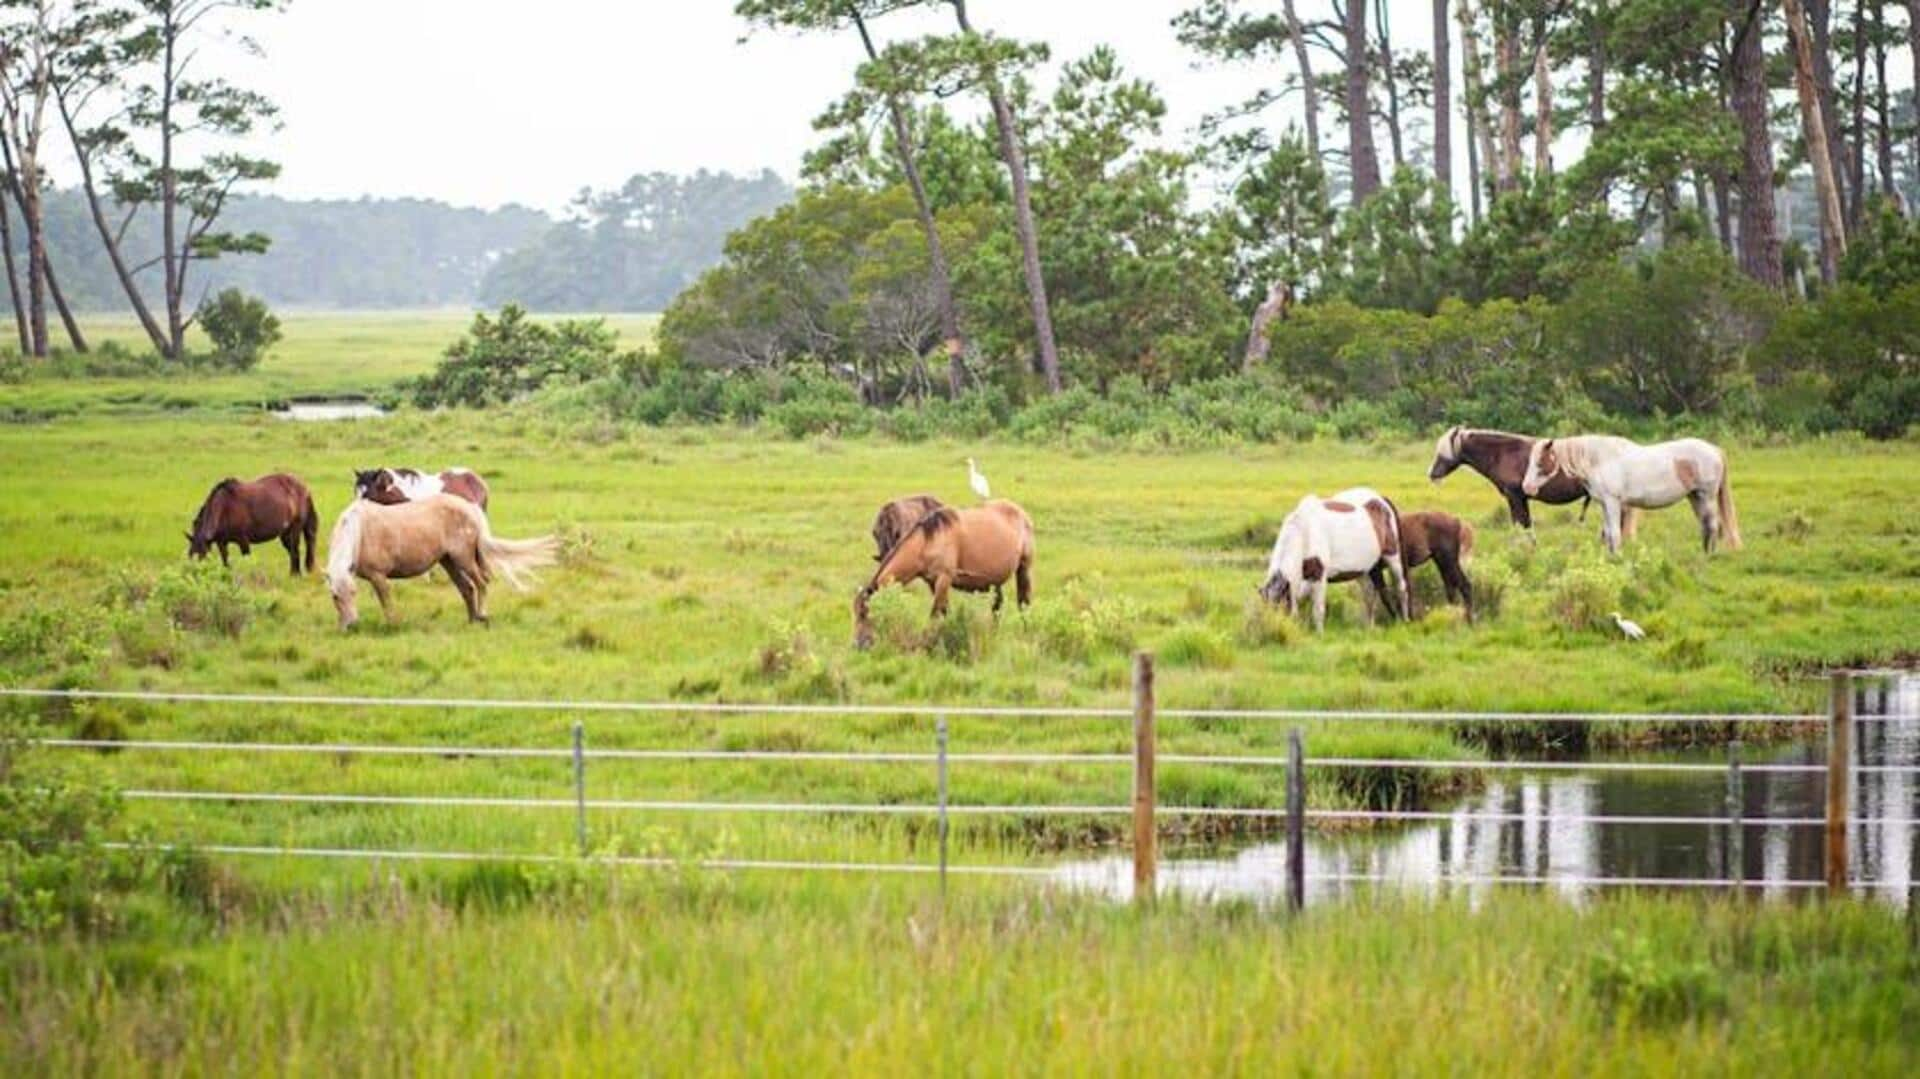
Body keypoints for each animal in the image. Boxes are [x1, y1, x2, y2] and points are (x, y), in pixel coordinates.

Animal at [185, 470, 316, 572]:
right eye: (190, 555)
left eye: (202, 555)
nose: (195, 573)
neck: (224, 507)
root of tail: (305, 488)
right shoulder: (221, 543)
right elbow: (225, 561)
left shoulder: (243, 541)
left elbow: (247, 560)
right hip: (284, 534)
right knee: (292, 552)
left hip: (295, 529)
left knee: (295, 550)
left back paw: (295, 575)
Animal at [326, 491, 556, 625]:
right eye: (335, 596)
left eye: (354, 593)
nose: (352, 625)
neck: (359, 530)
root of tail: (469, 507)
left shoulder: (379, 577)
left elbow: (386, 602)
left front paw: (392, 624)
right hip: (449, 562)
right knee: (467, 588)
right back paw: (472, 620)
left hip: (464, 559)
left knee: (481, 583)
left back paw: (482, 615)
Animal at [856, 499, 1036, 645]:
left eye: (865, 613)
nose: (858, 644)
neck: (929, 541)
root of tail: (1021, 513)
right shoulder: (933, 582)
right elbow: (944, 611)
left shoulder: (944, 578)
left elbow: (935, 614)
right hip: (995, 580)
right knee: (997, 605)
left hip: (1023, 569)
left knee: (1023, 603)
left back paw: (1026, 629)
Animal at [1251, 483, 1420, 625]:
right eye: (1266, 608)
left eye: (1280, 607)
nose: (1275, 626)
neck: (1304, 532)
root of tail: (1381, 499)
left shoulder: (1319, 576)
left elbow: (1318, 610)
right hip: (1364, 570)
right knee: (1370, 595)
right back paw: (1370, 627)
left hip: (1393, 557)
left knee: (1401, 588)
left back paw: (1405, 620)